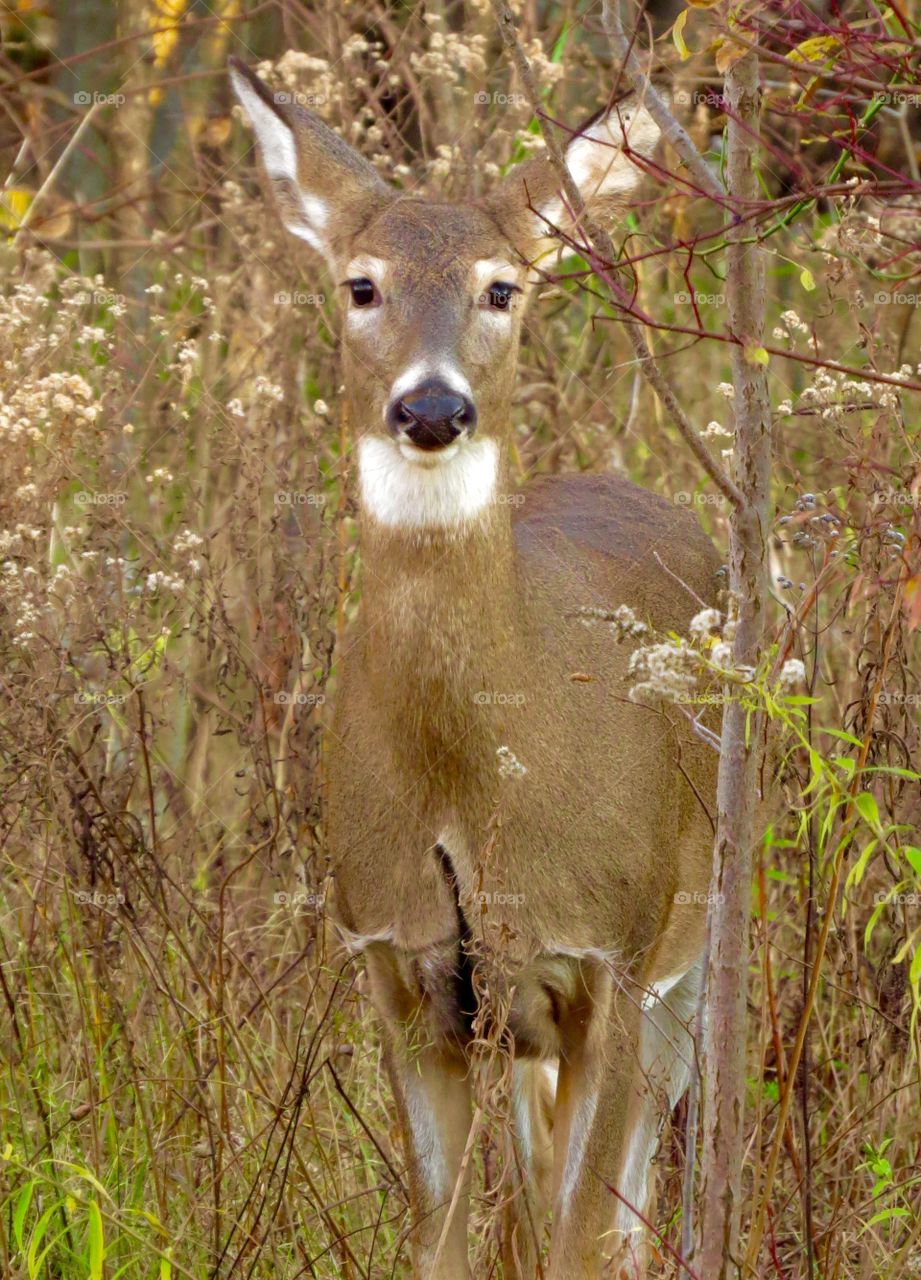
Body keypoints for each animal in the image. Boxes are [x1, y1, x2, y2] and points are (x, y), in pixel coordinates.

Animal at [230, 57, 721, 1280]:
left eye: (501, 288)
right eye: (360, 284)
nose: (432, 406)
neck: (474, 781)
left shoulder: (609, 951)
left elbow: (585, 1238)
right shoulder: (397, 966)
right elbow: (446, 1239)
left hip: (693, 946)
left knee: (634, 1198)